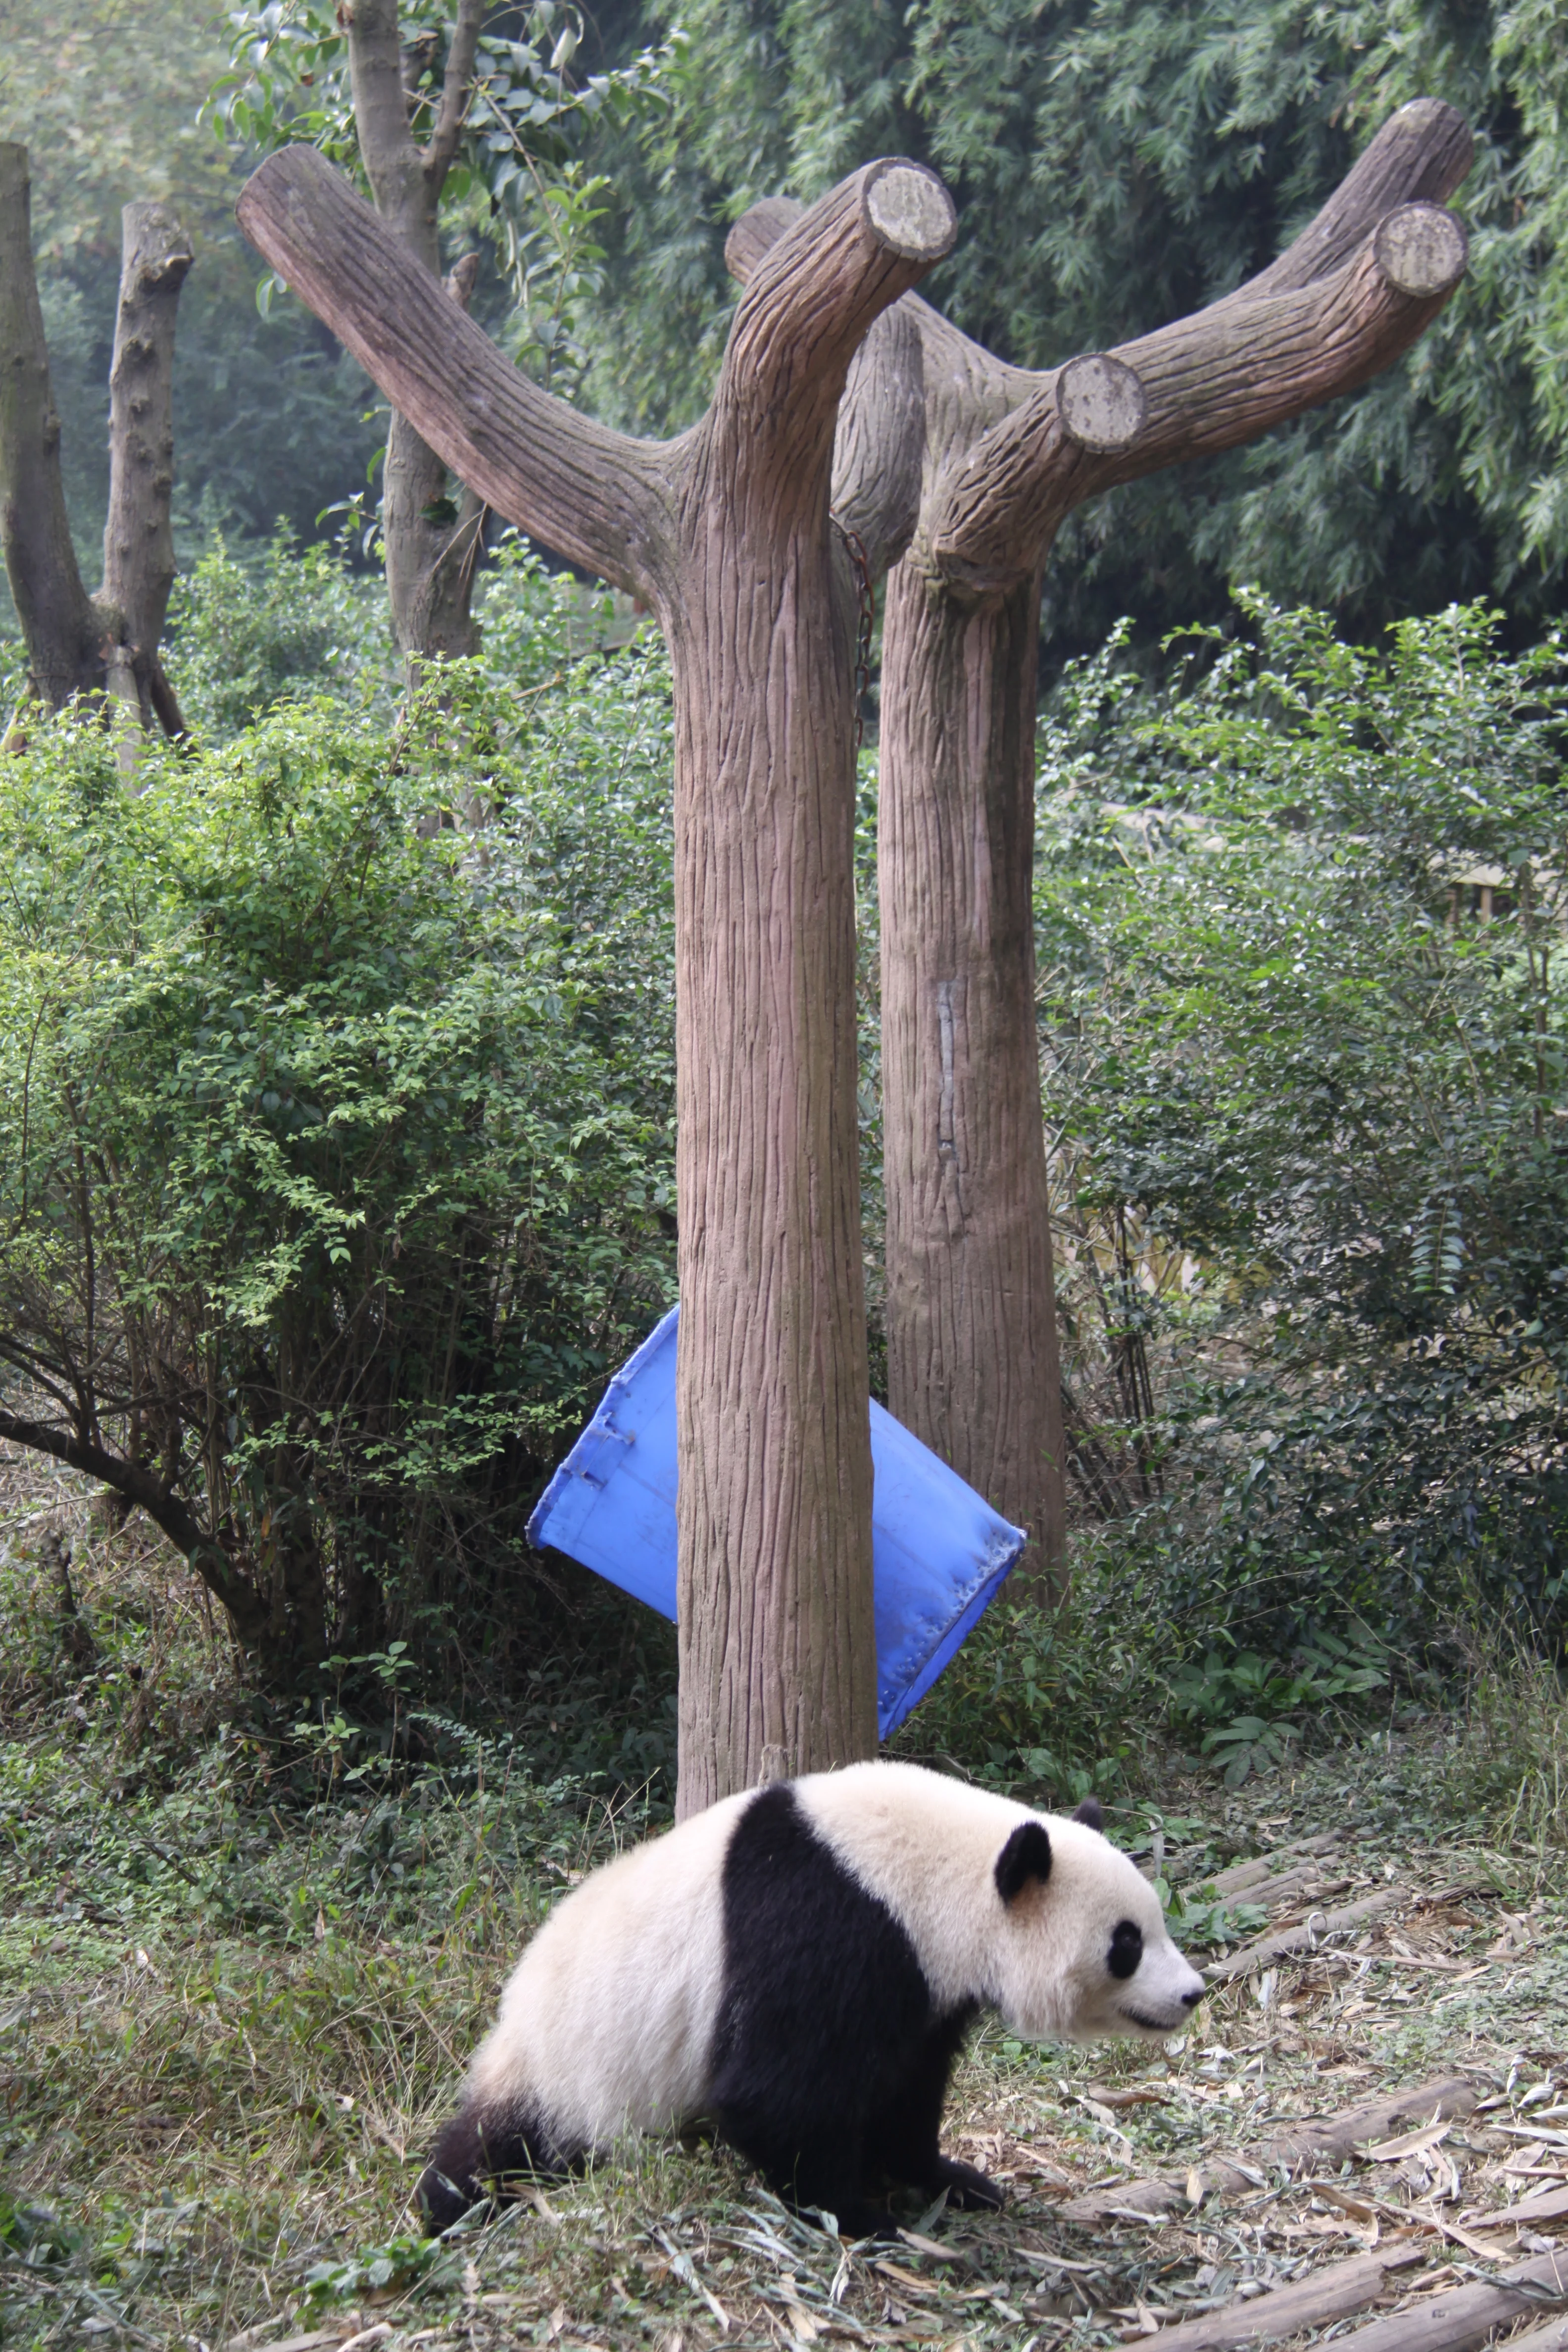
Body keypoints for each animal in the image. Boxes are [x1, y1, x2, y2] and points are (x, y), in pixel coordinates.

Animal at [417, 1759, 1205, 2238]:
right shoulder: (824, 1928)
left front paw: (949, 2178)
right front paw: (858, 2215)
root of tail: (512, 2009)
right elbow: (776, 2095)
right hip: (566, 2071)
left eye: (1156, 1923)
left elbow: (907, 2085)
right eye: (1126, 1944)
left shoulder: (917, 1983)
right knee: (491, 2150)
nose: (1192, 1993)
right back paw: (447, 2207)